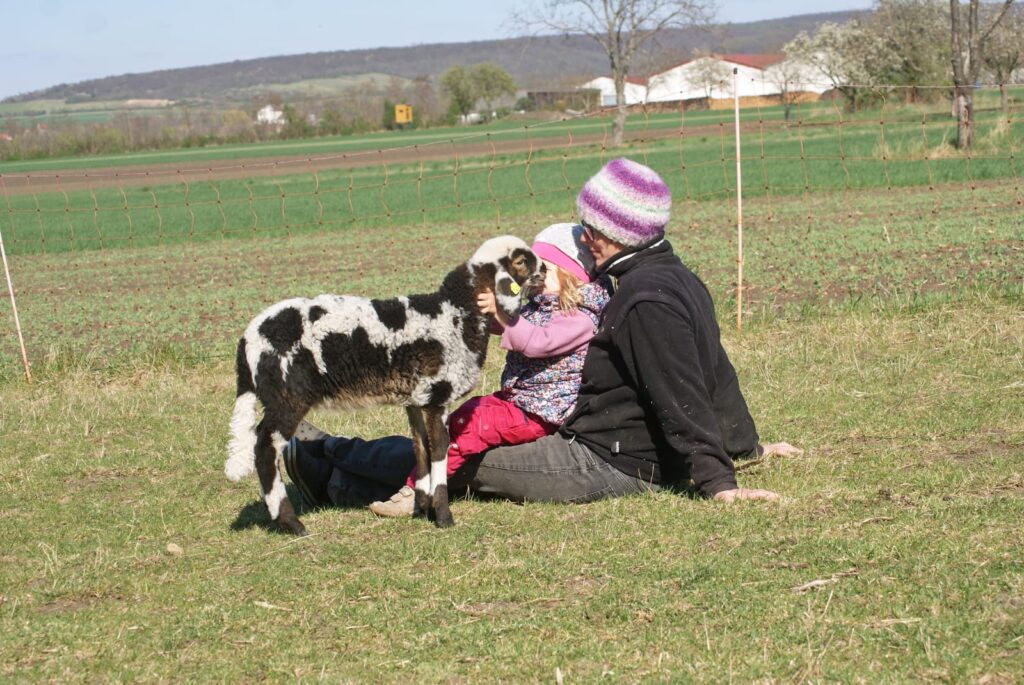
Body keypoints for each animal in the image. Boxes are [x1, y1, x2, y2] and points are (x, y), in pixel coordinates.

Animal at [224, 235, 544, 532]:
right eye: (521, 261)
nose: (545, 269)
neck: (458, 313)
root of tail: (247, 340)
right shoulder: (437, 394)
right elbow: (440, 448)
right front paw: (443, 517)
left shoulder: (416, 398)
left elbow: (420, 446)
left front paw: (422, 509)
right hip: (288, 395)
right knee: (265, 449)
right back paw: (290, 523)